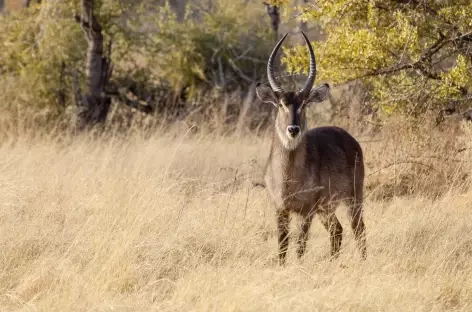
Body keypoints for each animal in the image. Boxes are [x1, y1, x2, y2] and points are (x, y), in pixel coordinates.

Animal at [256, 32, 366, 266]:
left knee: (358, 229)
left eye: (304, 103)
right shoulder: (280, 209)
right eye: (281, 104)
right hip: (327, 209)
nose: (293, 129)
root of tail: (348, 136)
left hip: (353, 198)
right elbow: (282, 246)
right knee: (337, 231)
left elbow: (300, 247)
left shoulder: (306, 211)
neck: (287, 177)